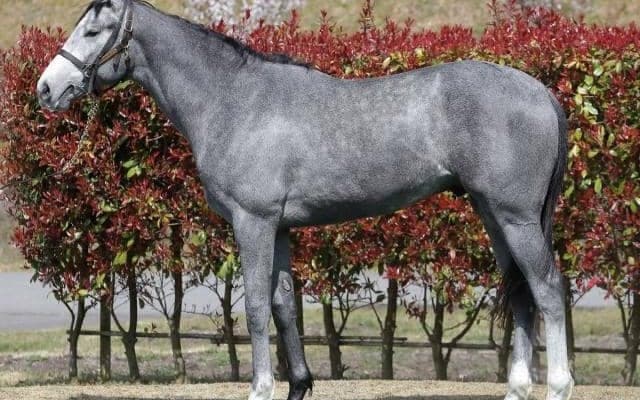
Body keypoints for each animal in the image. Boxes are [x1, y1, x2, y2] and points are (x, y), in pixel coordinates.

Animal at [37, 1, 573, 399]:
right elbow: (283, 304)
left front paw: (260, 388)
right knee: (522, 292)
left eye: (93, 30)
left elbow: (255, 305)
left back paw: (559, 385)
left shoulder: (252, 222)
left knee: (547, 289)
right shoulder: (279, 228)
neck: (234, 100)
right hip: (494, 216)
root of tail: (540, 91)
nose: (45, 89)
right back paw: (517, 388)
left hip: (517, 218)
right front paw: (298, 384)